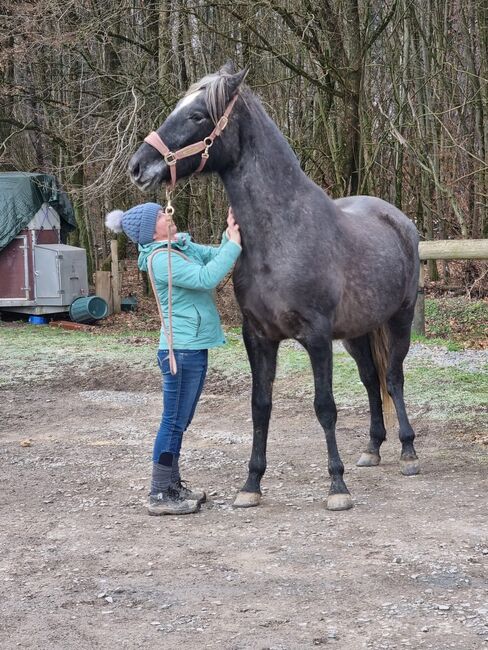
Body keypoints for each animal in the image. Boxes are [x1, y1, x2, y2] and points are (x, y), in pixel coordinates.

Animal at [129, 66, 420, 512]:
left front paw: (337, 486)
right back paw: (372, 449)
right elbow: (260, 406)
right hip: (357, 333)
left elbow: (325, 407)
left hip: (400, 319)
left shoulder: (316, 336)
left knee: (393, 378)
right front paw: (251, 484)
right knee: (372, 381)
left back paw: (407, 451)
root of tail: (397, 219)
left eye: (197, 115)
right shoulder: (258, 336)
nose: (138, 166)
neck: (282, 233)